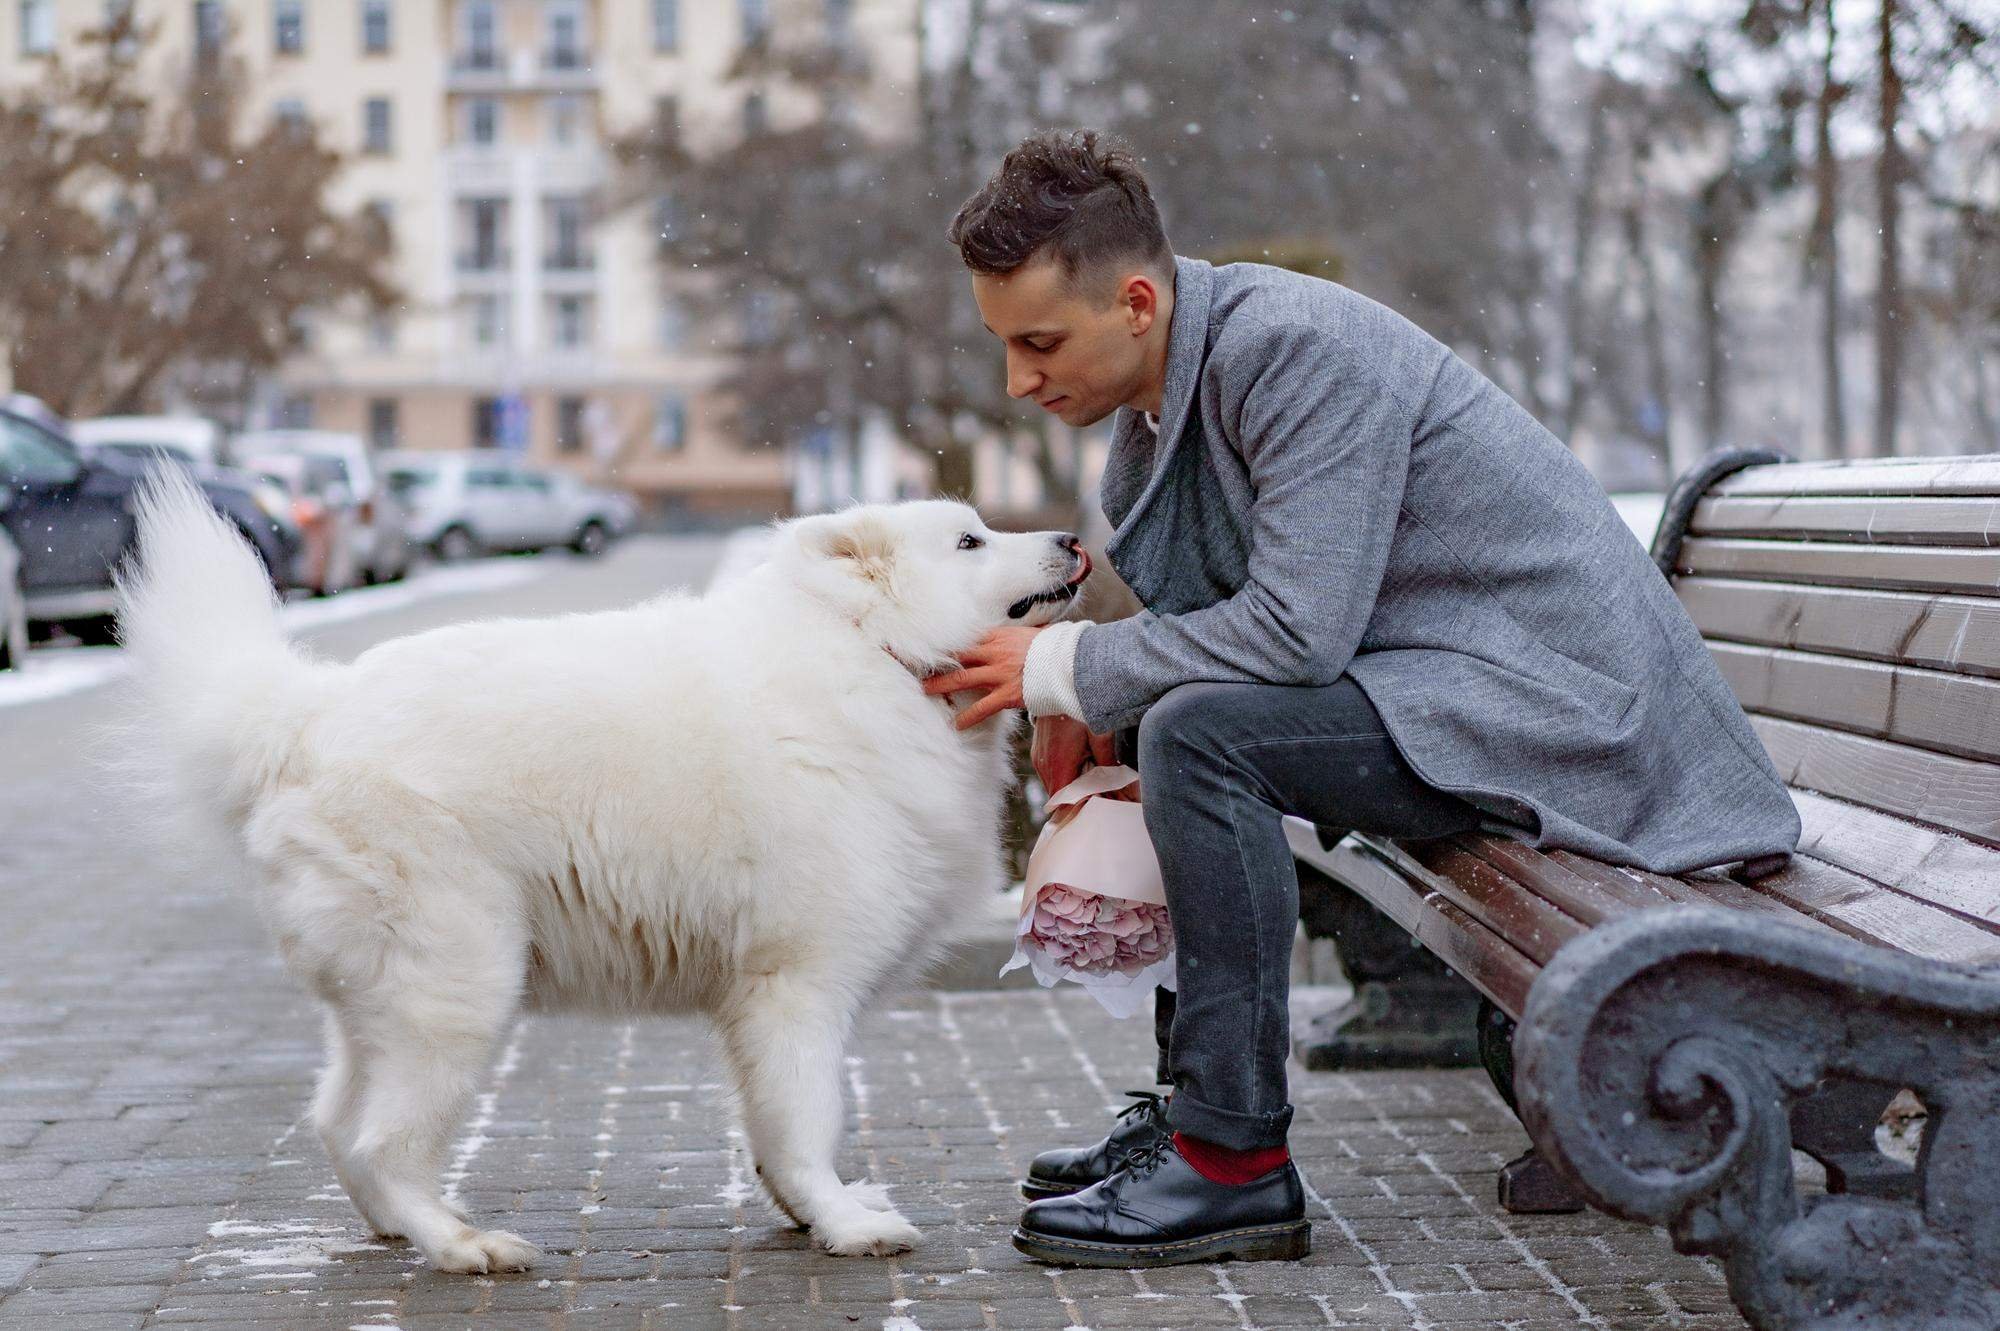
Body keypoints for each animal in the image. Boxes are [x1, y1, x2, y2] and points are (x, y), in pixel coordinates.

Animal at [113, 471, 1096, 1271]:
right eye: (970, 542)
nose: (1074, 539)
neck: (874, 652)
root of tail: (302, 718)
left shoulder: (757, 1002)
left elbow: (772, 1132)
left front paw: (806, 1211)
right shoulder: (797, 987)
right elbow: (807, 1120)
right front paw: (845, 1224)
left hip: (382, 1001)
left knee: (338, 1125)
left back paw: (396, 1226)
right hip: (461, 987)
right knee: (384, 1140)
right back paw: (463, 1244)